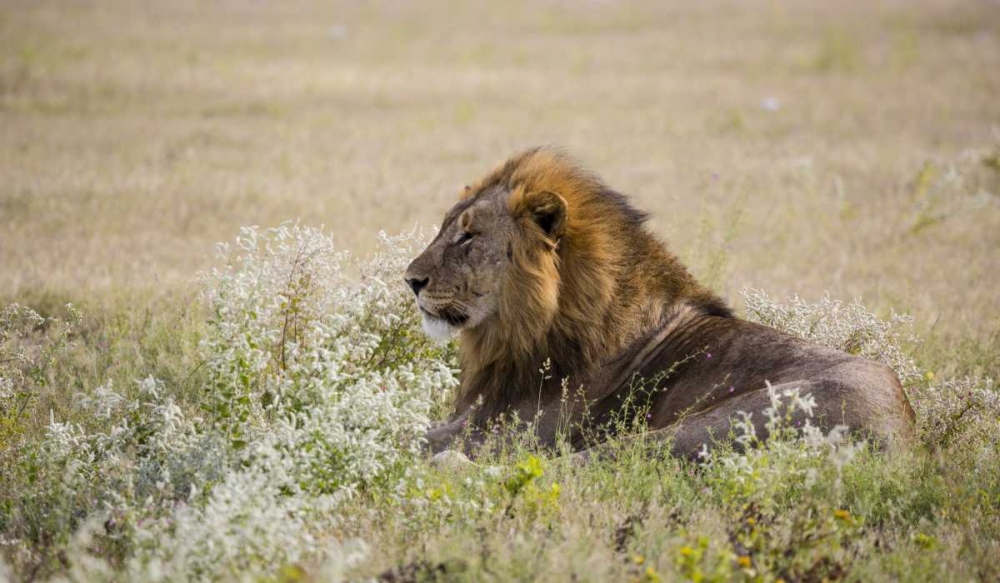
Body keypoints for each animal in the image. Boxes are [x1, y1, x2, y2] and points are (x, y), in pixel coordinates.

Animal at [405, 148, 915, 458]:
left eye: (468, 236)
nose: (410, 280)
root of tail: (904, 435)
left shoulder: (517, 429)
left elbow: (418, 439)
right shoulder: (473, 415)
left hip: (703, 426)